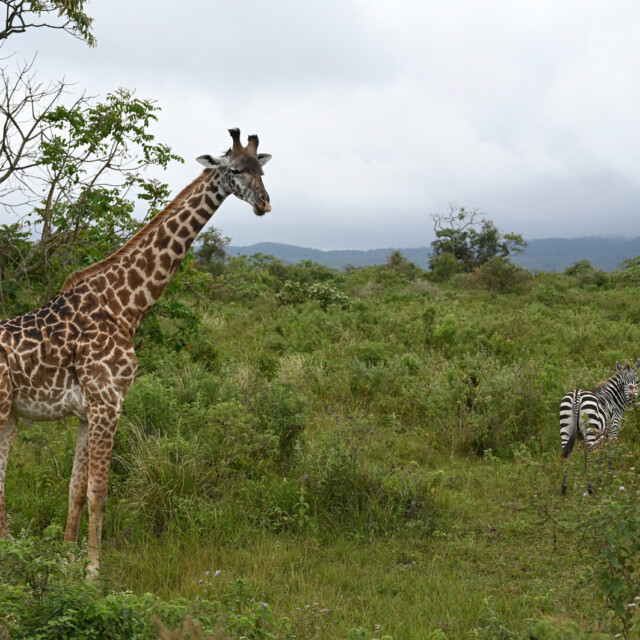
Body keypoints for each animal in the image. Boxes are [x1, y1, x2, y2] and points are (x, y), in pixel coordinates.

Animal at [0, 128, 271, 574]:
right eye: (233, 170)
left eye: (261, 170)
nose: (265, 203)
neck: (126, 306)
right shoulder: (109, 402)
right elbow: (99, 490)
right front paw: (93, 573)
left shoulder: (87, 411)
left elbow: (75, 488)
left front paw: (66, 561)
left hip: (10, 416)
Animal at [560, 360, 639, 495]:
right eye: (623, 384)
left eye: (637, 382)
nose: (633, 398)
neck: (613, 400)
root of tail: (577, 395)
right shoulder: (612, 432)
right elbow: (609, 455)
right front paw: (608, 478)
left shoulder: (600, 435)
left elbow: (600, 456)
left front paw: (599, 479)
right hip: (591, 429)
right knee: (587, 457)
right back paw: (590, 488)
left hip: (566, 428)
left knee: (566, 455)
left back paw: (564, 489)